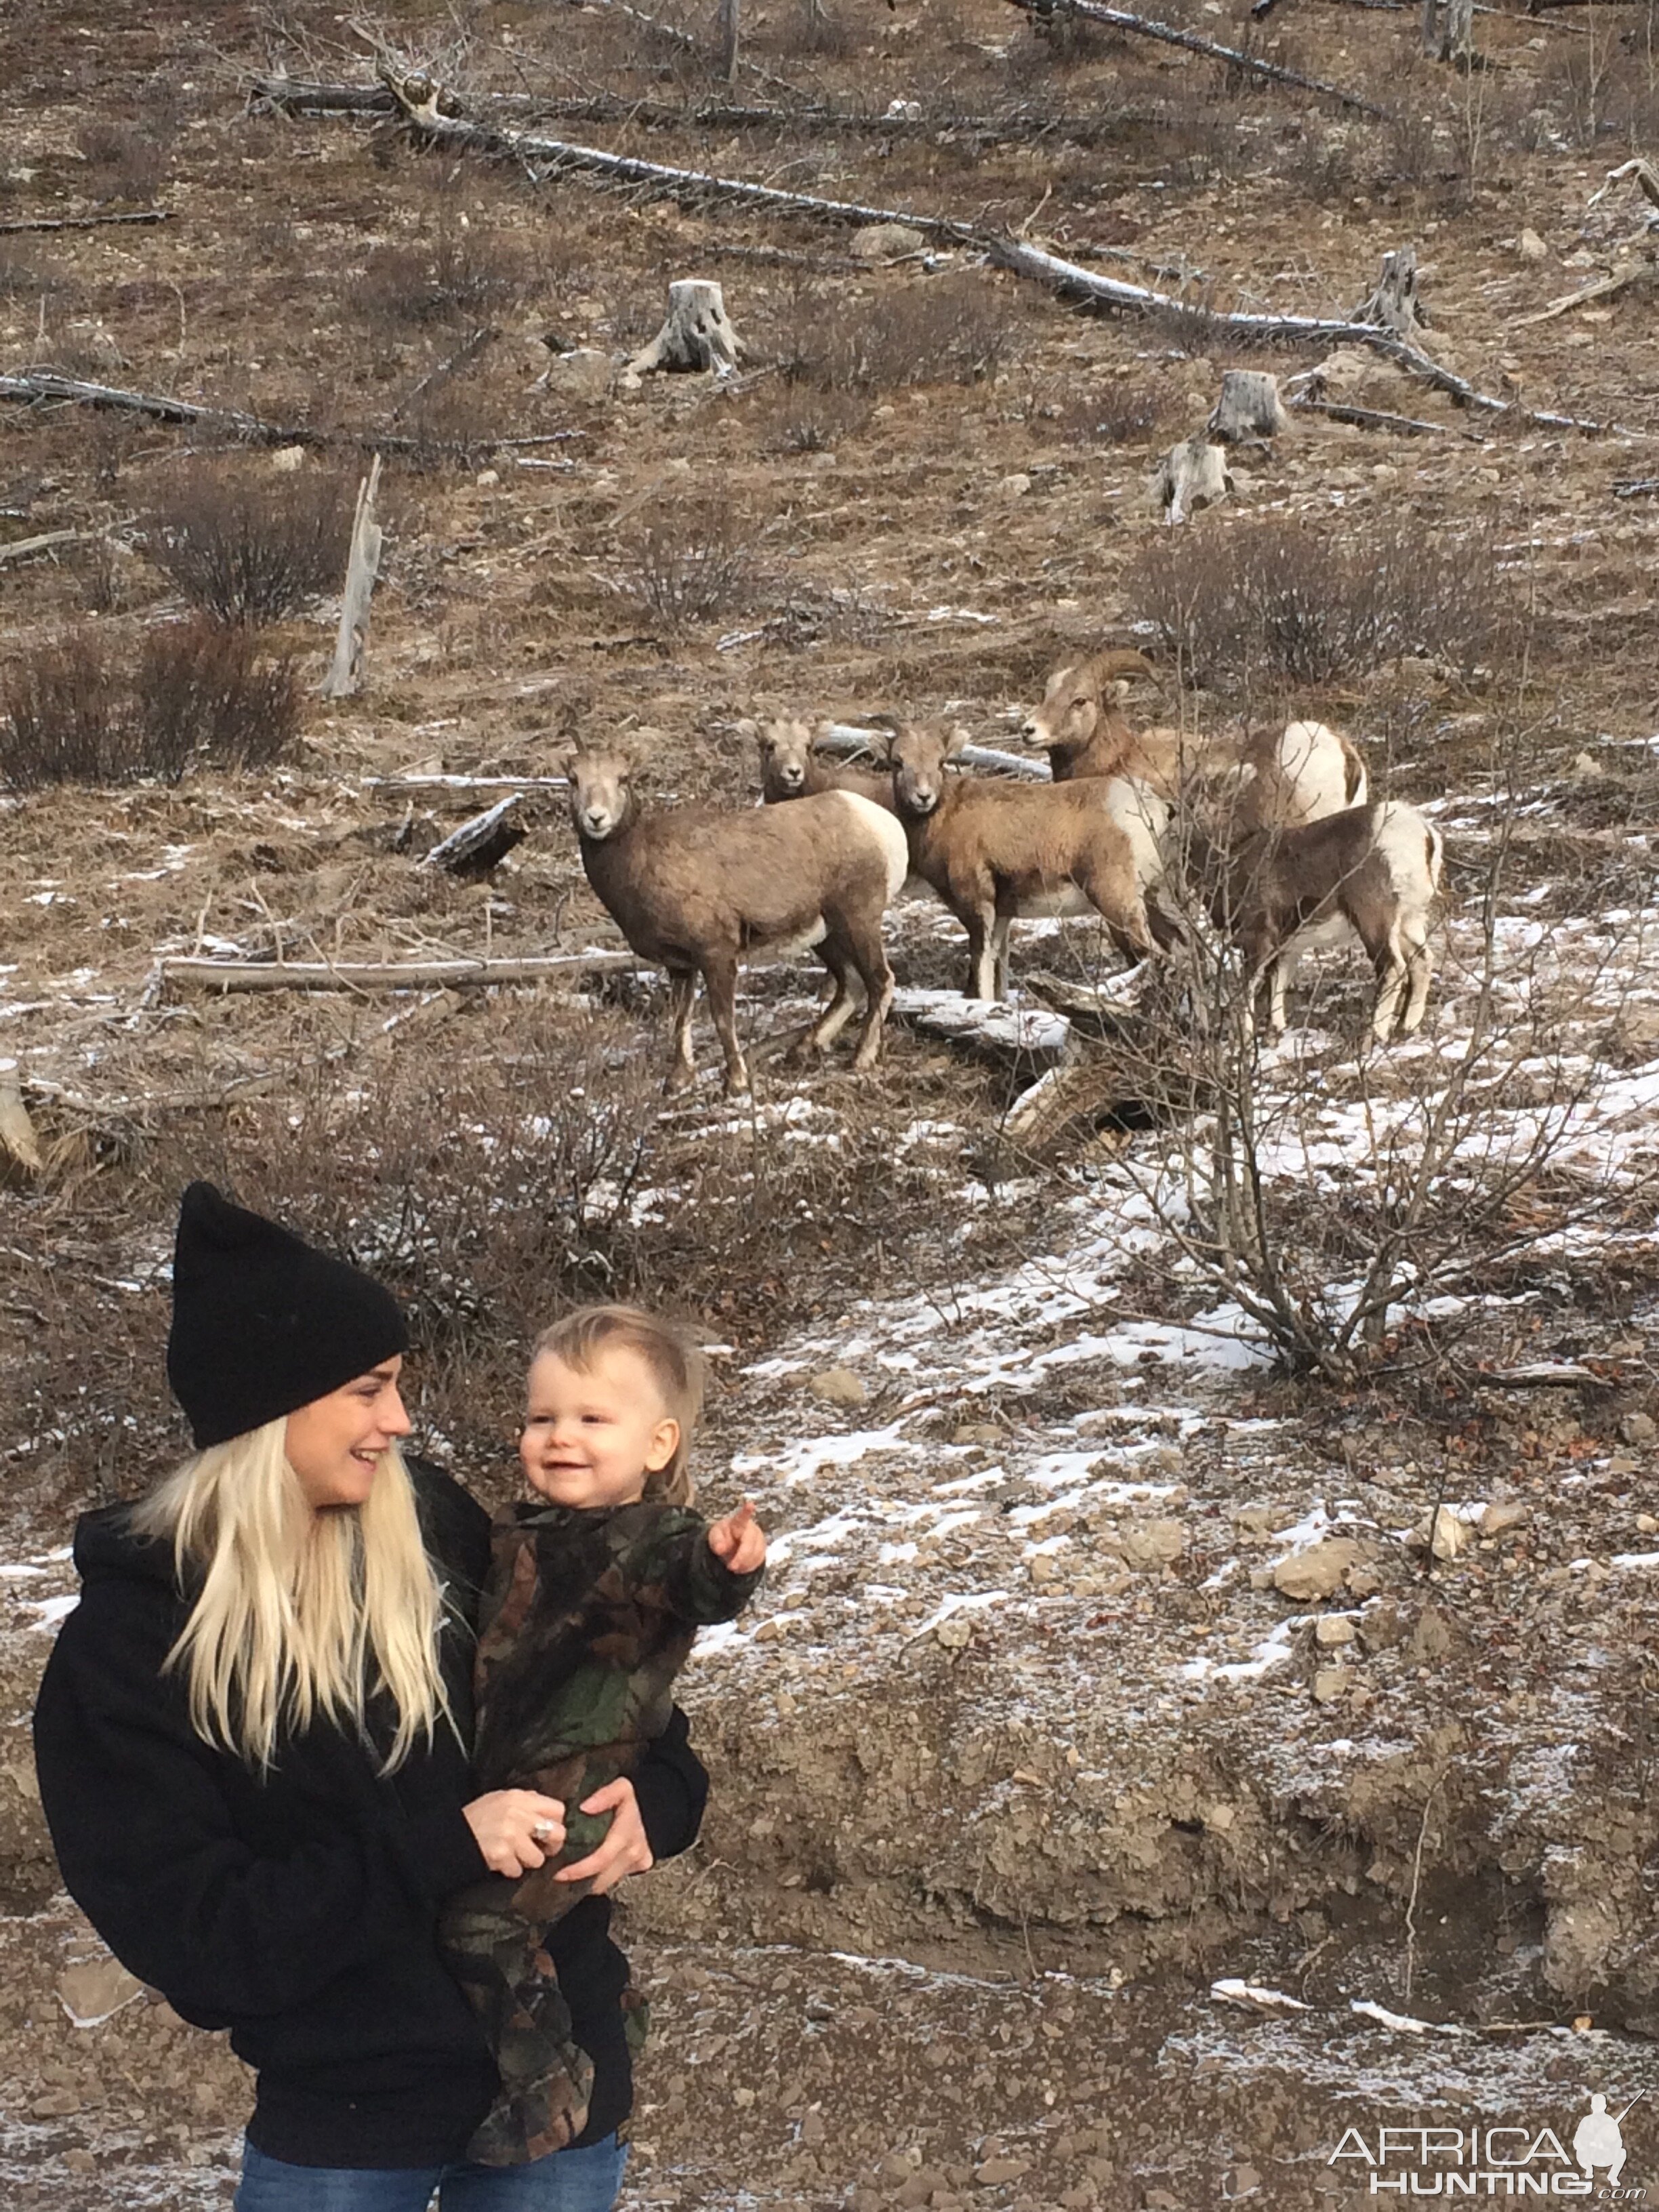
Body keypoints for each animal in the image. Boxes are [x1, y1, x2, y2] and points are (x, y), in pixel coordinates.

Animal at [571, 743, 911, 1088]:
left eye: (623, 778)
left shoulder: (717, 954)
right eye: (574, 779)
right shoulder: (680, 965)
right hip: (825, 934)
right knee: (851, 984)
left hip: (858, 921)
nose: (596, 818)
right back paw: (802, 1049)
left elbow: (722, 1018)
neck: (640, 861)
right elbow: (681, 1018)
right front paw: (677, 1082)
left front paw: (736, 1082)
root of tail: (883, 826)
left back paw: (860, 1059)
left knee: (881, 980)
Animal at [884, 725, 1168, 1004]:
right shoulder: (1001, 915)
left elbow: (982, 966)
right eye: (898, 762)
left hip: (1117, 903)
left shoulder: (978, 908)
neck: (945, 817)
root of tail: (1155, 807)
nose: (923, 797)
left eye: (940, 761)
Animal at [1194, 800, 1442, 1040]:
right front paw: (1277, 1031)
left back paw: (1374, 1036)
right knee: (1422, 960)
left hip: (1375, 921)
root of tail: (1424, 835)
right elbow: (1277, 985)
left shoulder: (1259, 941)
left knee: (1392, 967)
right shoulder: (1286, 948)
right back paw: (1406, 1028)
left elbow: (1249, 989)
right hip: (1409, 921)